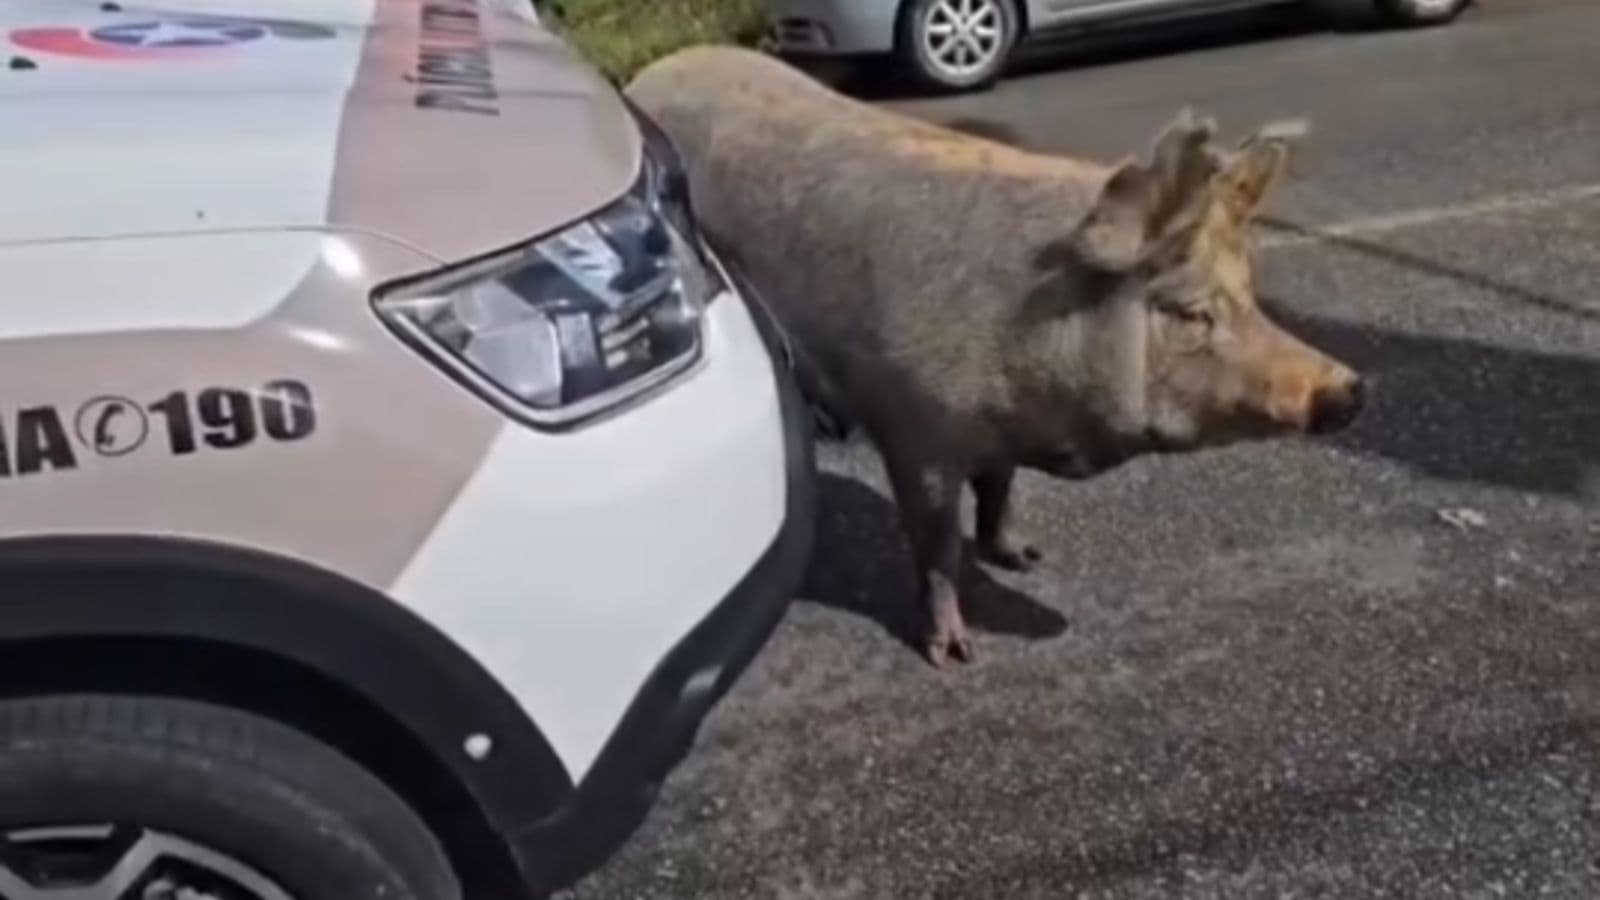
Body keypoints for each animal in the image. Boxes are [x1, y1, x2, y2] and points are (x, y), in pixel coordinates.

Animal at [626, 46, 1365, 668]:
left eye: (1251, 294)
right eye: (1188, 312)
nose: (1349, 389)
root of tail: (655, 71)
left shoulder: (998, 432)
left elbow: (999, 488)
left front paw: (1027, 557)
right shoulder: (915, 428)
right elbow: (936, 542)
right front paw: (956, 655)